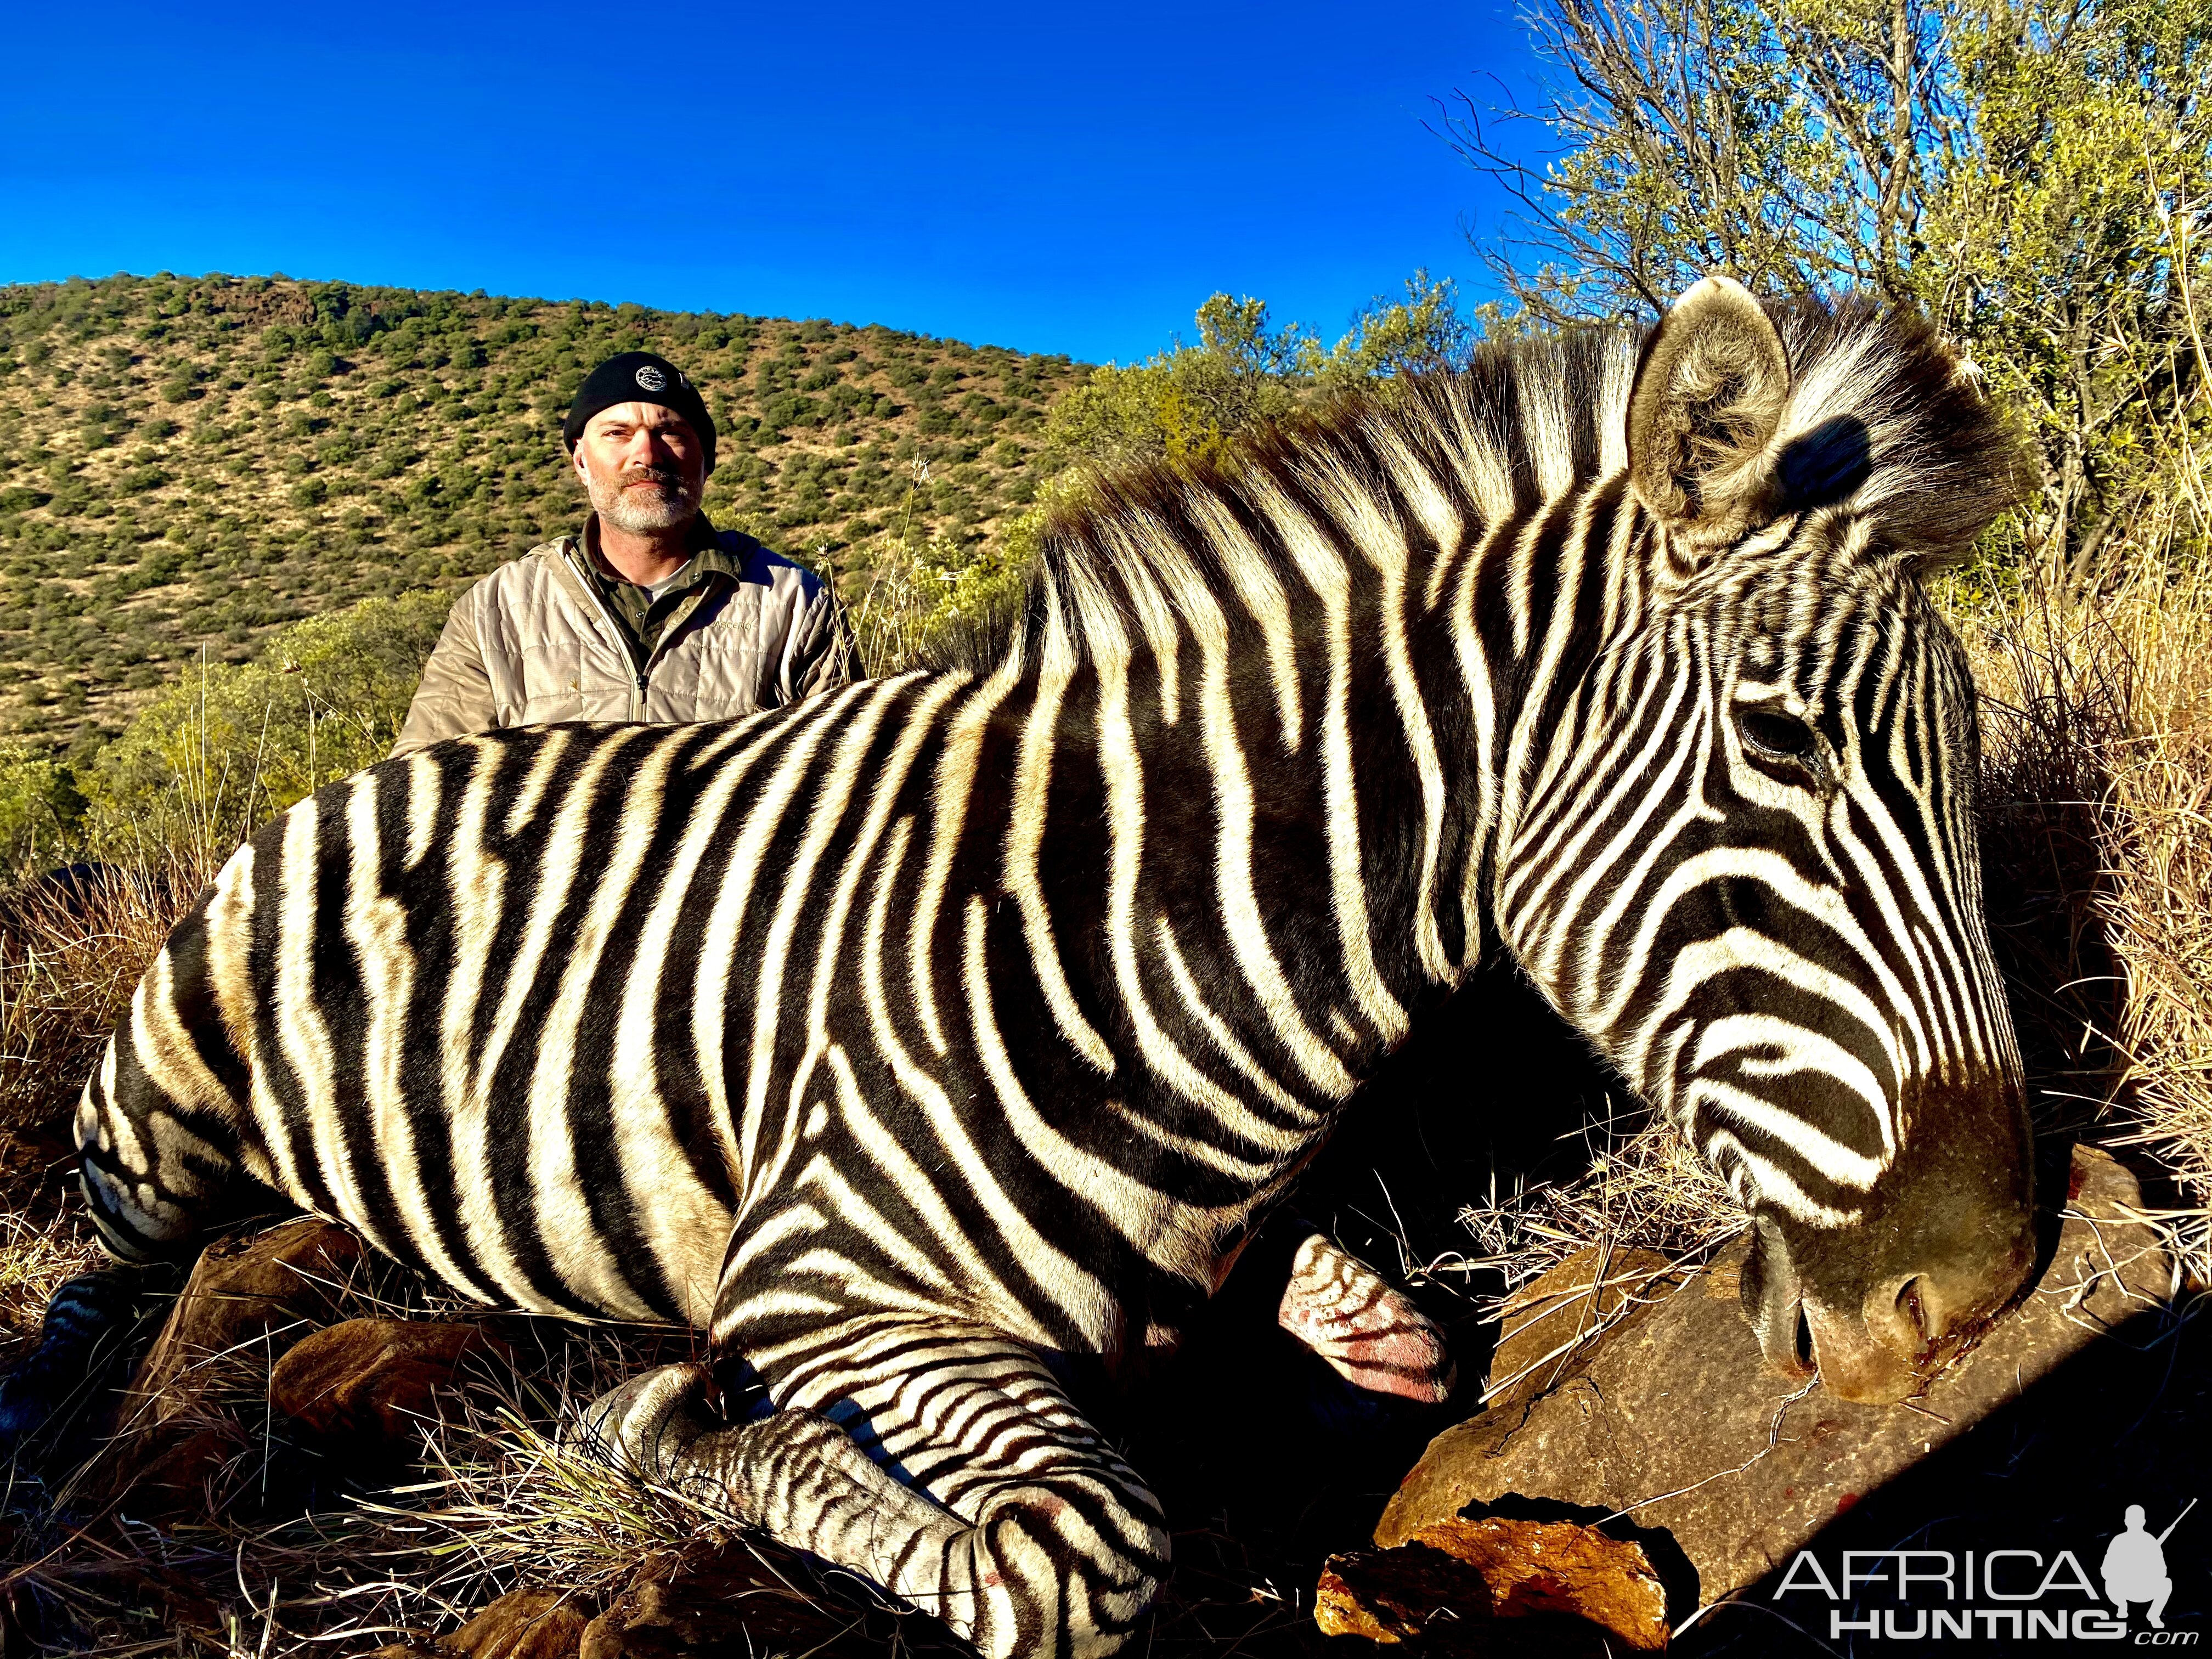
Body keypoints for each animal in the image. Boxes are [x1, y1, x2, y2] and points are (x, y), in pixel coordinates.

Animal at [13, 283, 2026, 1659]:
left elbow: (1392, 1340)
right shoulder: (829, 1287)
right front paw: (682, 1430)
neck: (1150, 938)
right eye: (1781, 743)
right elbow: (1065, 1554)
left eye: (1958, 741)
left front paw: (1326, 1302)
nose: (1976, 1282)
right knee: (102, 1269)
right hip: (159, 1109)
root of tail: (362, 770)